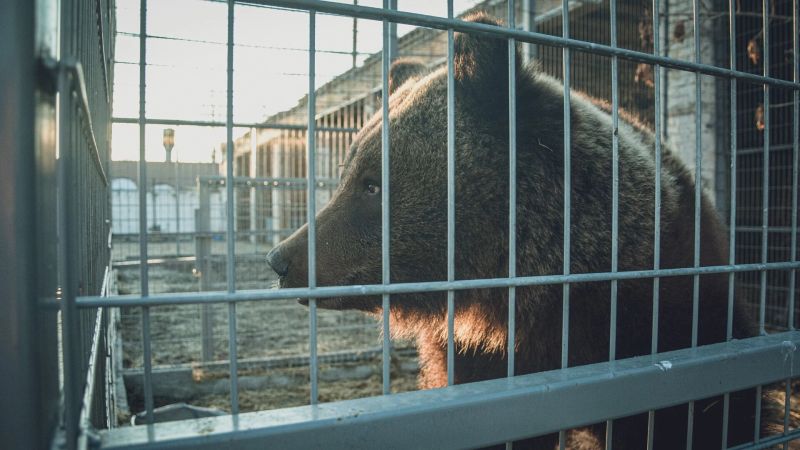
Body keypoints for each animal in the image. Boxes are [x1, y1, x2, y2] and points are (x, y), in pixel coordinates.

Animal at [266, 13, 759, 450]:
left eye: (371, 184)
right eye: (348, 174)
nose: (281, 259)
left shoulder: (667, 314)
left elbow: (700, 418)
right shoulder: (478, 359)